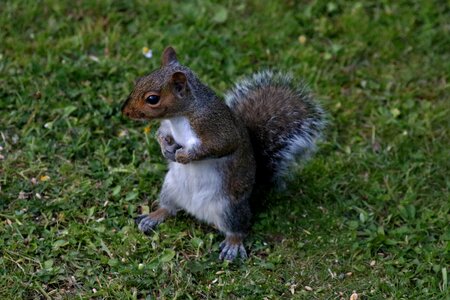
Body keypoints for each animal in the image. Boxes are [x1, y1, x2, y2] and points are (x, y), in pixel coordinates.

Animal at [121, 46, 326, 260]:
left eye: (152, 99)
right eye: (139, 80)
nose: (124, 111)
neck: (181, 115)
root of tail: (197, 212)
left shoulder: (215, 128)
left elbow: (219, 147)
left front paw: (184, 156)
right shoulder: (168, 126)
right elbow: (161, 134)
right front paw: (165, 148)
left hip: (230, 209)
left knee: (238, 229)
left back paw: (232, 245)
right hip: (170, 188)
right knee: (169, 208)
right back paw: (153, 217)